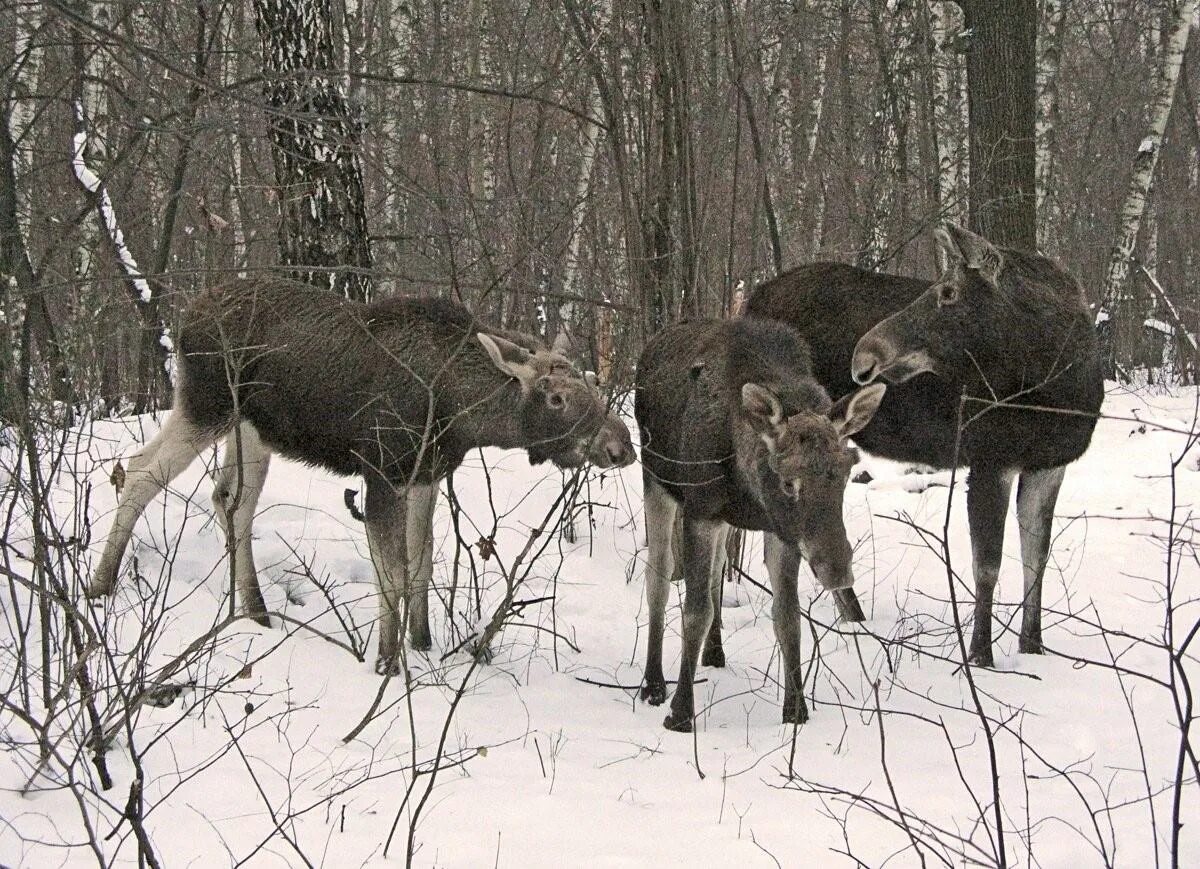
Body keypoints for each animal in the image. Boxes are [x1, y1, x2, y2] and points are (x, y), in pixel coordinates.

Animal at [88, 278, 609, 672]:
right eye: (556, 397)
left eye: (591, 383)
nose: (617, 443)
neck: (459, 415)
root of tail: (186, 316)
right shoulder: (381, 472)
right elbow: (391, 575)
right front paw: (387, 661)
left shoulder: (425, 475)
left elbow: (421, 564)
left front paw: (422, 643)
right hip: (206, 405)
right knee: (140, 472)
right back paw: (100, 585)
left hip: (253, 431)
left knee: (229, 499)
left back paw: (254, 609)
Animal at [633, 316, 888, 729]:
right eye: (787, 481)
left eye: (847, 472)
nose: (837, 570)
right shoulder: (701, 510)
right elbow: (694, 611)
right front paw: (681, 711)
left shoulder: (779, 531)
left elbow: (787, 616)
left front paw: (796, 709)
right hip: (657, 481)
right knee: (658, 576)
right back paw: (653, 683)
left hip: (723, 520)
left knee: (719, 570)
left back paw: (714, 652)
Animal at [748, 224, 1104, 667]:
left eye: (948, 291)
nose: (865, 353)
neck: (1059, 391)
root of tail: (750, 301)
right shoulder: (989, 459)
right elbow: (987, 565)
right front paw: (980, 656)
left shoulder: (1050, 464)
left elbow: (1036, 557)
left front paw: (1033, 647)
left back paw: (855, 619)